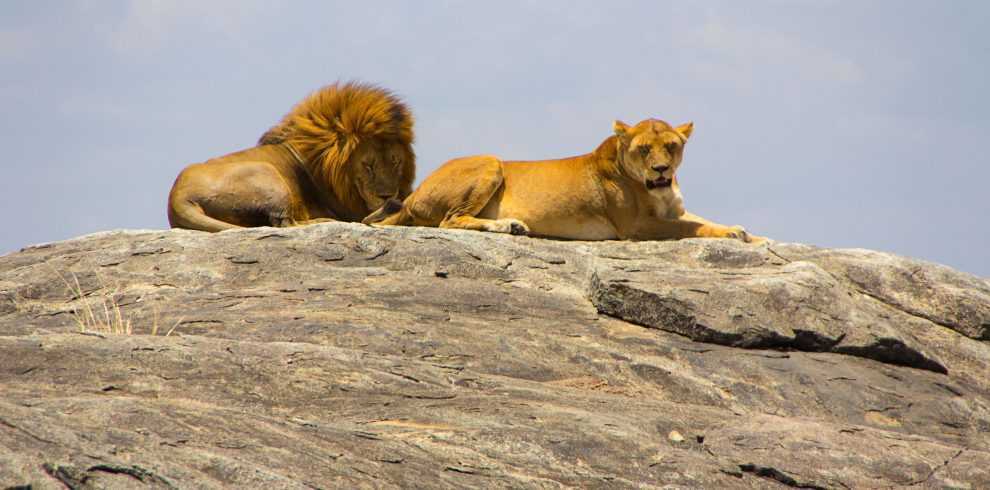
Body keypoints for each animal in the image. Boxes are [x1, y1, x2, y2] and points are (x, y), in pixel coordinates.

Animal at [167, 81, 415, 232]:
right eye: (367, 165)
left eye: (395, 162)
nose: (387, 196)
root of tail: (177, 196)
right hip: (268, 174)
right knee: (284, 224)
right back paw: (324, 221)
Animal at [363, 118, 761, 243]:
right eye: (645, 149)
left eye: (672, 147)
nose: (662, 169)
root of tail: (412, 195)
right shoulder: (635, 226)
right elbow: (693, 228)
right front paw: (732, 234)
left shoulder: (673, 211)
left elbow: (702, 220)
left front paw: (750, 234)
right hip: (491, 161)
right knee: (450, 221)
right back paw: (507, 225)